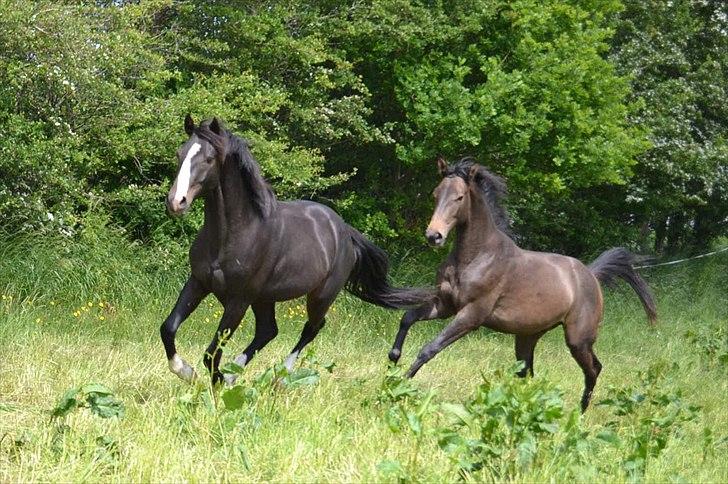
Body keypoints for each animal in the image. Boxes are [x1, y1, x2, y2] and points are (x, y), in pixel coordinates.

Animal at [161, 116, 430, 386]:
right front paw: (186, 371)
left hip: (320, 296)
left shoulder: (238, 300)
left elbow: (210, 353)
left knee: (312, 328)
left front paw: (214, 382)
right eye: (179, 154)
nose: (176, 202)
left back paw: (281, 374)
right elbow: (168, 328)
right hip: (264, 298)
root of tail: (345, 232)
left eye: (209, 159)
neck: (234, 234)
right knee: (268, 331)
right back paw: (234, 372)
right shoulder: (199, 282)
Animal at [390, 158, 656, 412]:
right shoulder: (445, 305)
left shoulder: (471, 315)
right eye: (436, 194)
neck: (476, 256)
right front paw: (393, 359)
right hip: (527, 336)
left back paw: (579, 413)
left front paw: (400, 385)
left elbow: (429, 348)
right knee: (528, 373)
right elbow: (407, 318)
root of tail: (590, 274)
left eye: (459, 197)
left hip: (578, 339)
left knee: (594, 369)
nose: (433, 236)